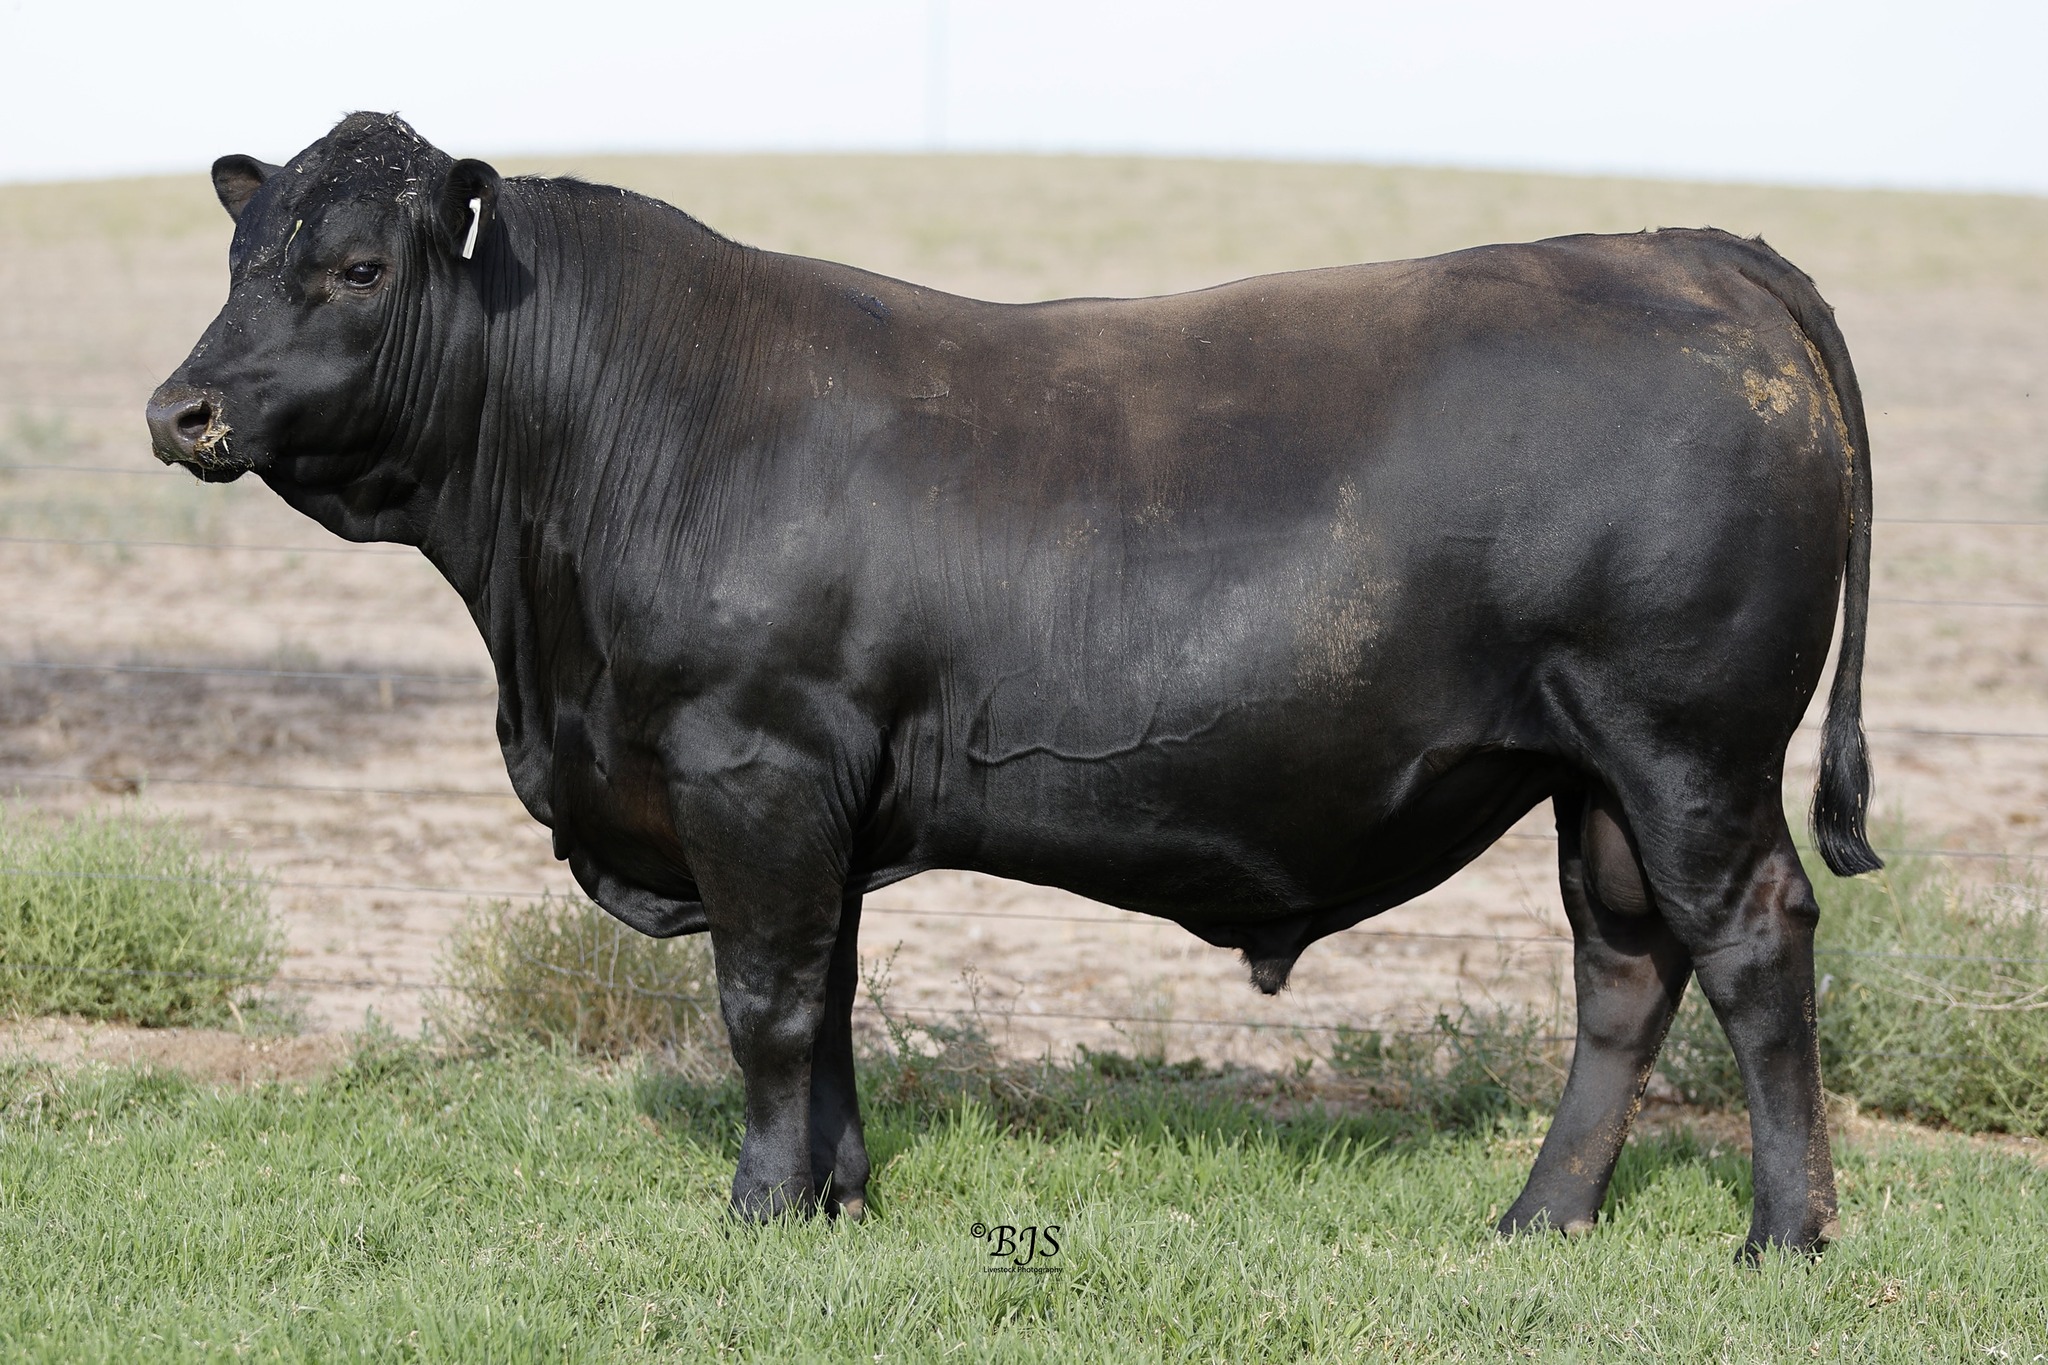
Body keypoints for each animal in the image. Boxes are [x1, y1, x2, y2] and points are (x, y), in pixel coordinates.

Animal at [147, 113, 1878, 1260]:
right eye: (237, 254)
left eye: (357, 266)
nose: (184, 410)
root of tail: (1694, 250)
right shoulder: (820, 799)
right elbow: (832, 1001)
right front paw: (838, 1201)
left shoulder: (750, 767)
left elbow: (767, 1003)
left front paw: (759, 1211)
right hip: (1595, 772)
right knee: (1624, 969)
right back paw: (1541, 1217)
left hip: (1688, 746)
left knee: (1751, 943)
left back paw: (1780, 1237)